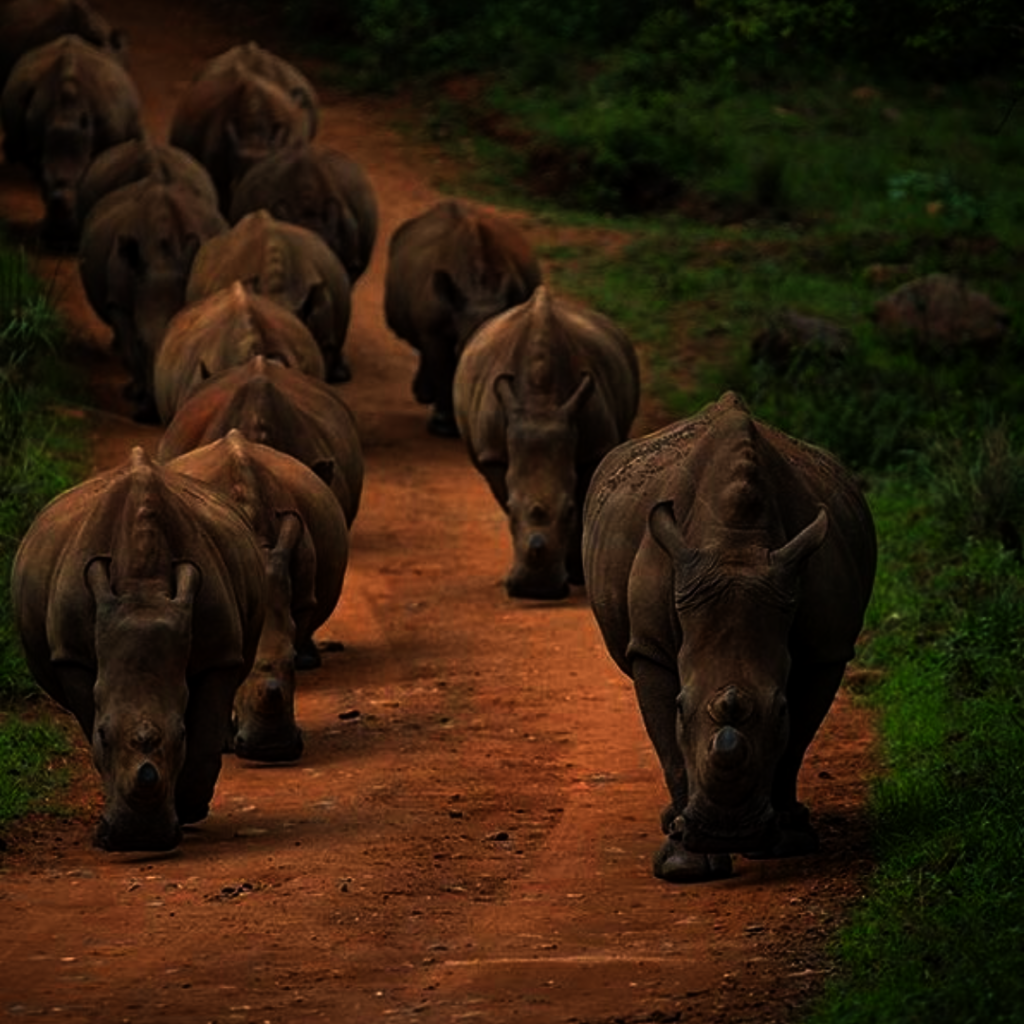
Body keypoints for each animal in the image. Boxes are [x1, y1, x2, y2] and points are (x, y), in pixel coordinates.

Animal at [10, 447, 266, 852]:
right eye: (103, 735)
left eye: (181, 734)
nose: (140, 840)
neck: (141, 589)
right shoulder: (72, 657)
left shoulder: (220, 654)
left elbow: (205, 738)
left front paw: (189, 809)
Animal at [78, 173, 229, 421]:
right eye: (141, 341)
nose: (150, 415)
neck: (161, 260)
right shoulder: (119, 303)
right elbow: (130, 348)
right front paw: (137, 397)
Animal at [454, 286, 639, 599]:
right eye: (510, 508)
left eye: (569, 511)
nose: (536, 590)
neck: (540, 404)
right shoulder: (493, 456)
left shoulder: (594, 450)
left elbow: (586, 498)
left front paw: (577, 575)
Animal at [582, 391, 876, 882]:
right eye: (682, 708)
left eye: (780, 708)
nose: (728, 833)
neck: (736, 544)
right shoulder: (651, 648)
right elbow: (669, 746)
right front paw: (685, 865)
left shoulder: (826, 649)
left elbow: (797, 740)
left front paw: (784, 844)